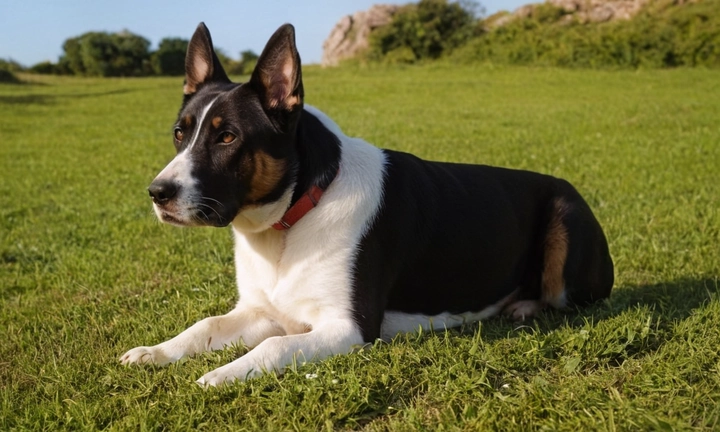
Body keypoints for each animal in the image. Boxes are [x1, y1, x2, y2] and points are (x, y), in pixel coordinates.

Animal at [119, 22, 612, 384]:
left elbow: (272, 346)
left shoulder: (348, 327)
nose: (158, 193)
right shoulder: (263, 312)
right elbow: (205, 325)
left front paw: (220, 375)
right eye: (179, 133)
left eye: (227, 137)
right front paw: (155, 351)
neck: (295, 215)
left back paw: (526, 305)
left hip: (566, 225)